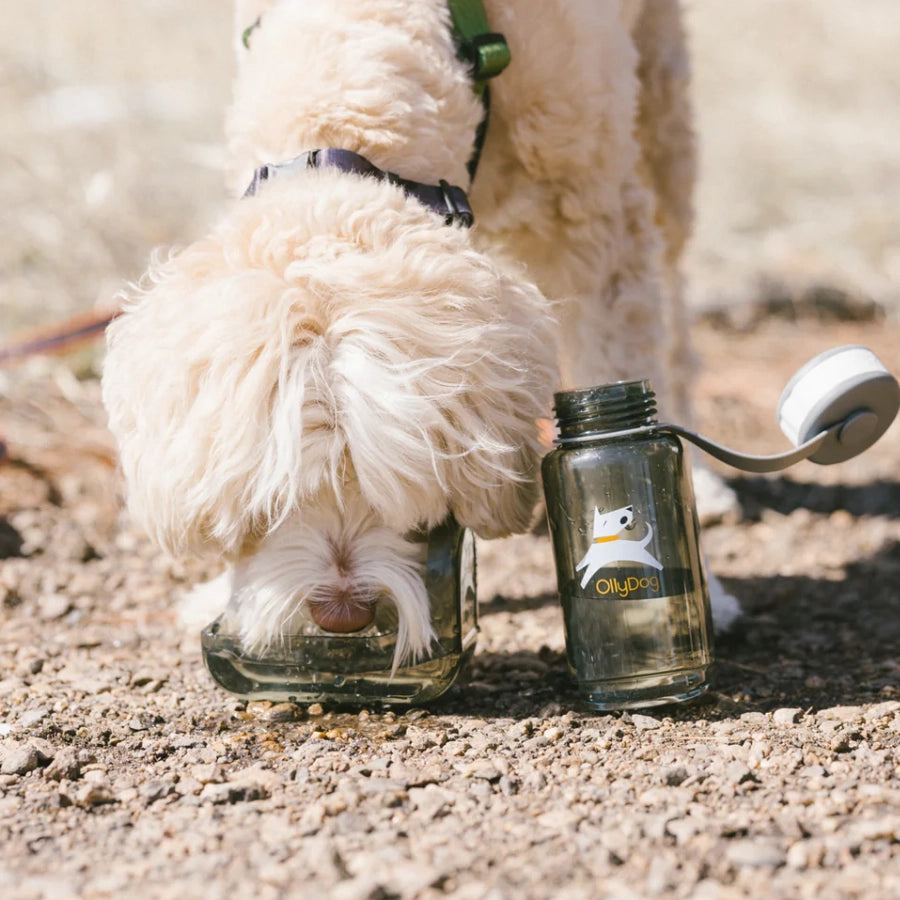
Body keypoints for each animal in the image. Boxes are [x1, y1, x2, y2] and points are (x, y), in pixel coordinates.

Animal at [102, 0, 736, 672]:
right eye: (269, 507)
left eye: (398, 494)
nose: (342, 612)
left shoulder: (597, 217)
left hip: (662, 113)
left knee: (674, 298)